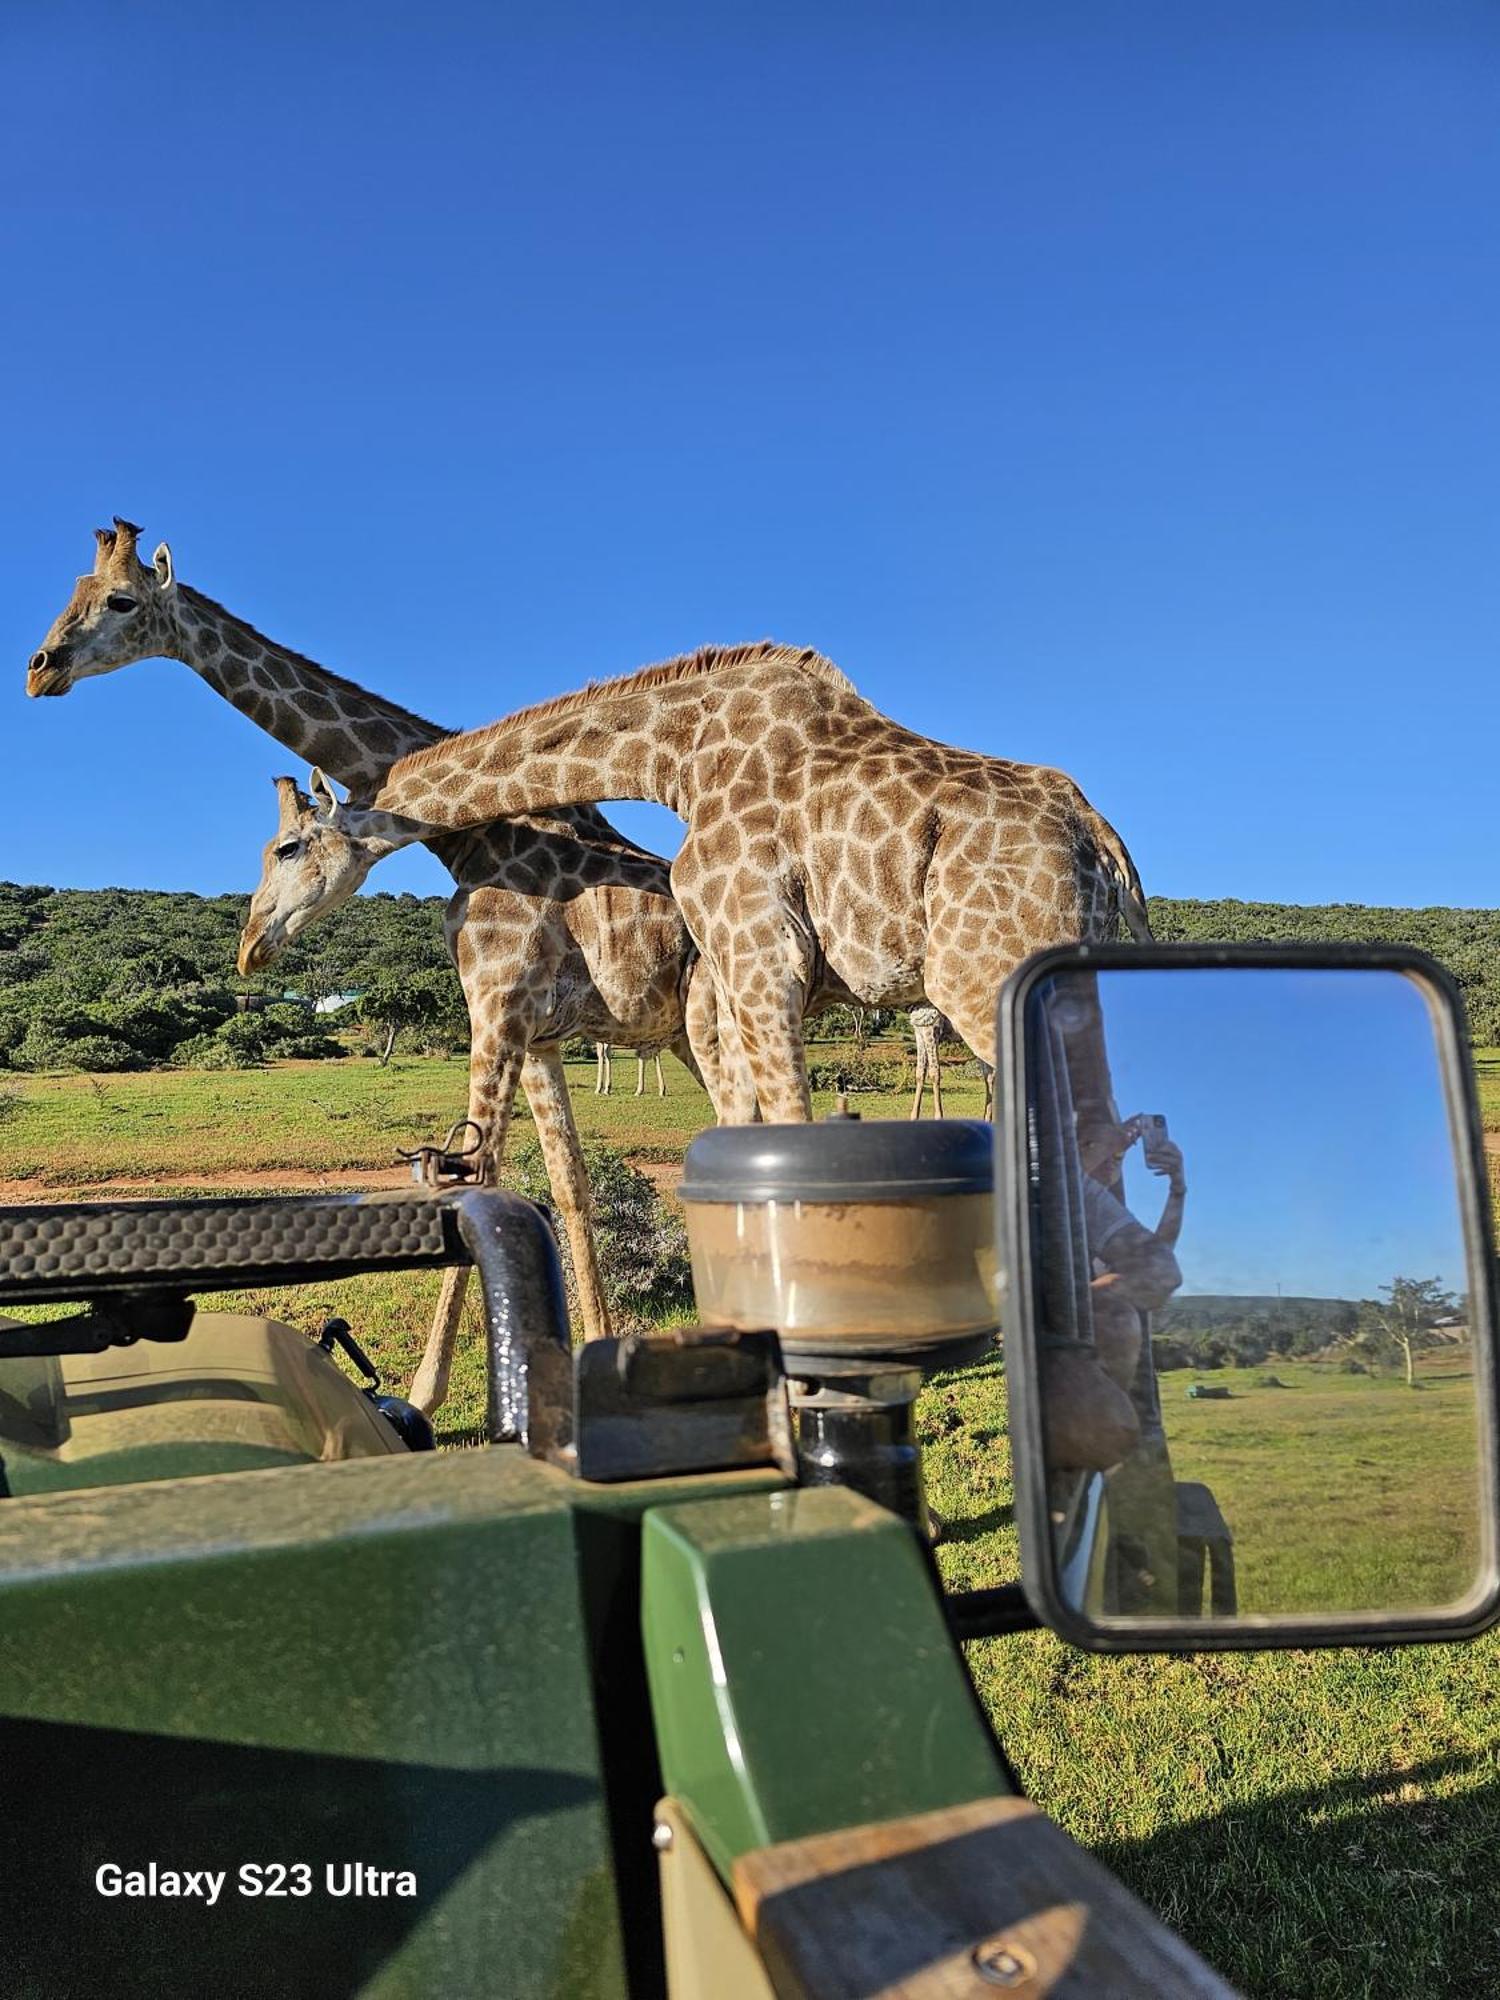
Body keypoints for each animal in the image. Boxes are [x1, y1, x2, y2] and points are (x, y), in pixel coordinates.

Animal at [22, 524, 728, 1416]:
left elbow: (478, 1172)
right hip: (681, 1035)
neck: (474, 836)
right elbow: (568, 1183)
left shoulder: (497, 1007)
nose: (39, 668)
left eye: (119, 602)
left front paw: (425, 1390)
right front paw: (596, 1351)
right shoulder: (538, 1034)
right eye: (70, 596)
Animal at [912, 1000, 992, 1128]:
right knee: (989, 1076)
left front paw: (939, 1117)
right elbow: (920, 1072)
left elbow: (934, 1072)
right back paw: (987, 1120)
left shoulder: (932, 1027)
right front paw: (914, 1117)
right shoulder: (919, 1030)